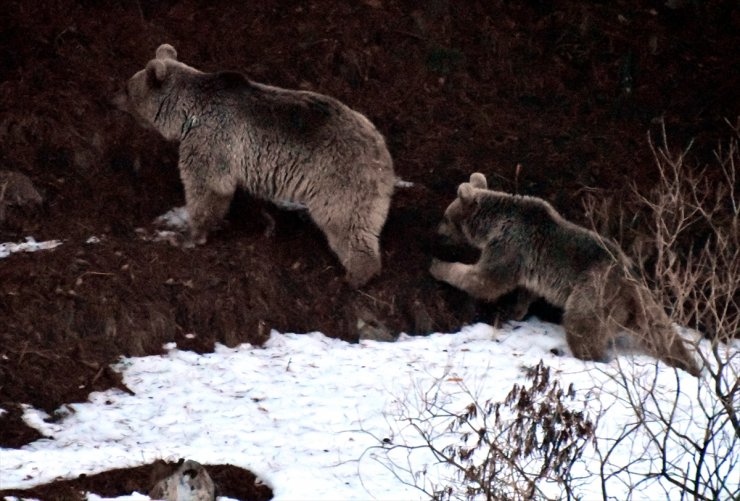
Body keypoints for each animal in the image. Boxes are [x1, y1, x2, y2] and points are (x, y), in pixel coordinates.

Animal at [115, 45, 396, 288]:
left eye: (128, 87)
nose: (113, 98)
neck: (187, 113)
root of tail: (381, 149)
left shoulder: (212, 140)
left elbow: (206, 186)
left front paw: (189, 235)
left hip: (339, 177)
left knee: (346, 223)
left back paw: (354, 276)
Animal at [428, 172, 700, 376]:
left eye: (445, 217)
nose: (436, 232)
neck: (494, 222)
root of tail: (631, 282)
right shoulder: (525, 261)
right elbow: (523, 290)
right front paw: (515, 310)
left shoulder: (509, 244)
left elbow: (485, 280)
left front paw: (437, 266)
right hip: (632, 304)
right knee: (662, 331)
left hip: (594, 290)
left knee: (580, 324)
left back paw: (587, 356)